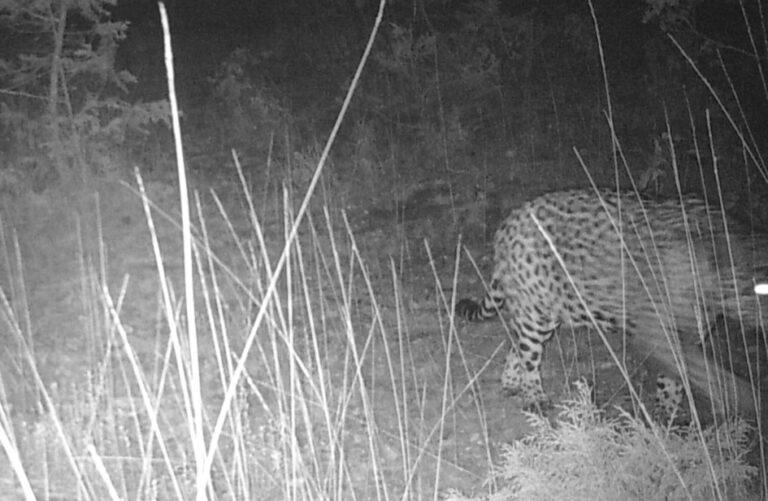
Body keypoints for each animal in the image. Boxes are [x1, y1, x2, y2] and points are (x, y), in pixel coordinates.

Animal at [456, 188, 766, 420]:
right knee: (528, 353)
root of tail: (514, 217)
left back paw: (511, 382)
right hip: (538, 312)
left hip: (547, 309)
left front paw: (669, 415)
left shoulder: (688, 336)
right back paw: (534, 397)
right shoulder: (655, 335)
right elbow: (700, 375)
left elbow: (677, 379)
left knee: (516, 343)